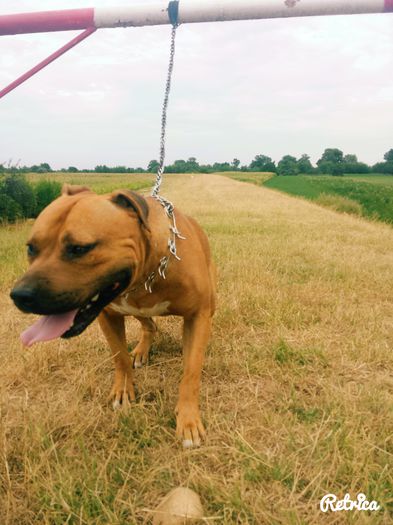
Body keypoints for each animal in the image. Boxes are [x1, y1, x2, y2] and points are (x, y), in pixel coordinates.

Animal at [10, 184, 216, 446]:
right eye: (31, 248)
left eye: (79, 249)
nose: (19, 295)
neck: (148, 272)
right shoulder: (108, 315)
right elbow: (120, 356)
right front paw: (123, 390)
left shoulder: (197, 316)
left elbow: (190, 372)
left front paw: (188, 421)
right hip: (134, 310)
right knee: (149, 325)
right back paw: (141, 350)